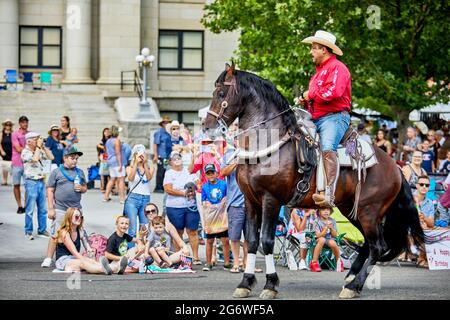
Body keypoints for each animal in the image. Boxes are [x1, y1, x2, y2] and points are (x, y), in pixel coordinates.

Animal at [206, 63, 424, 300]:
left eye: (221, 93)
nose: (207, 127)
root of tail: (395, 166)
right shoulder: (250, 201)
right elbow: (252, 241)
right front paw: (245, 282)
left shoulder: (271, 200)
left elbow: (266, 241)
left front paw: (270, 284)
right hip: (353, 210)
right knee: (368, 243)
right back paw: (351, 278)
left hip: (370, 211)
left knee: (377, 246)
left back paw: (353, 286)